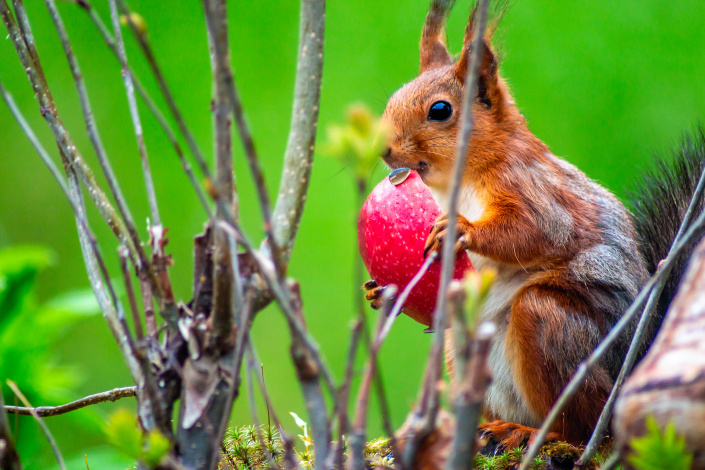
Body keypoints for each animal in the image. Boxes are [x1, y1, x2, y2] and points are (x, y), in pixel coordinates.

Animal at [364, 1, 704, 450]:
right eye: (392, 99)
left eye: (440, 111)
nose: (384, 149)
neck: (461, 179)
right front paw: (376, 291)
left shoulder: (533, 189)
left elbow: (538, 232)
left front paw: (462, 229)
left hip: (553, 327)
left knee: (580, 427)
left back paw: (526, 432)